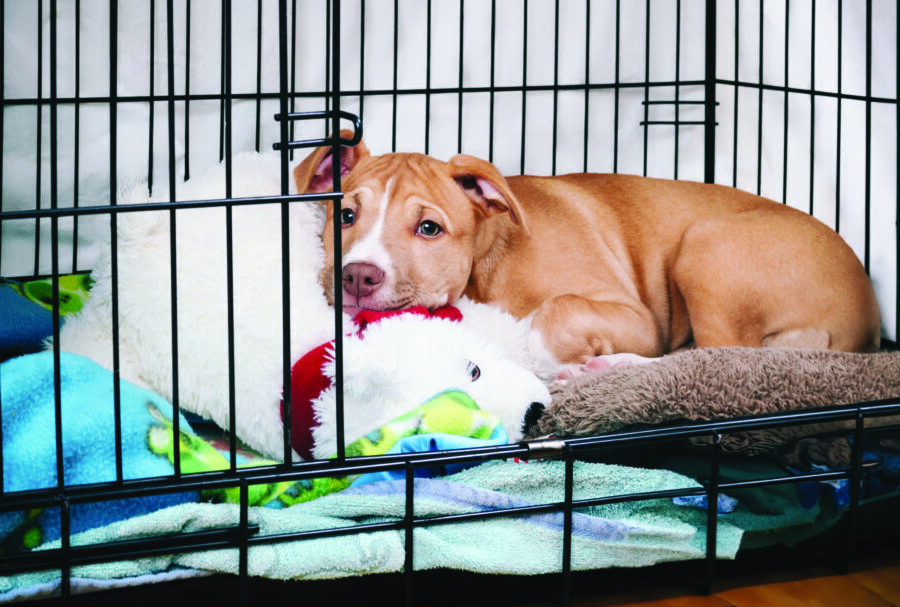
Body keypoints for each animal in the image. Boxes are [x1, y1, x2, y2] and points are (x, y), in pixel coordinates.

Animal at [294, 135, 880, 364]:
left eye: (429, 228)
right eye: (346, 216)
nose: (357, 276)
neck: (486, 268)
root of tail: (868, 314)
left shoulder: (639, 318)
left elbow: (558, 310)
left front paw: (539, 354)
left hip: (705, 247)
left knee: (718, 356)